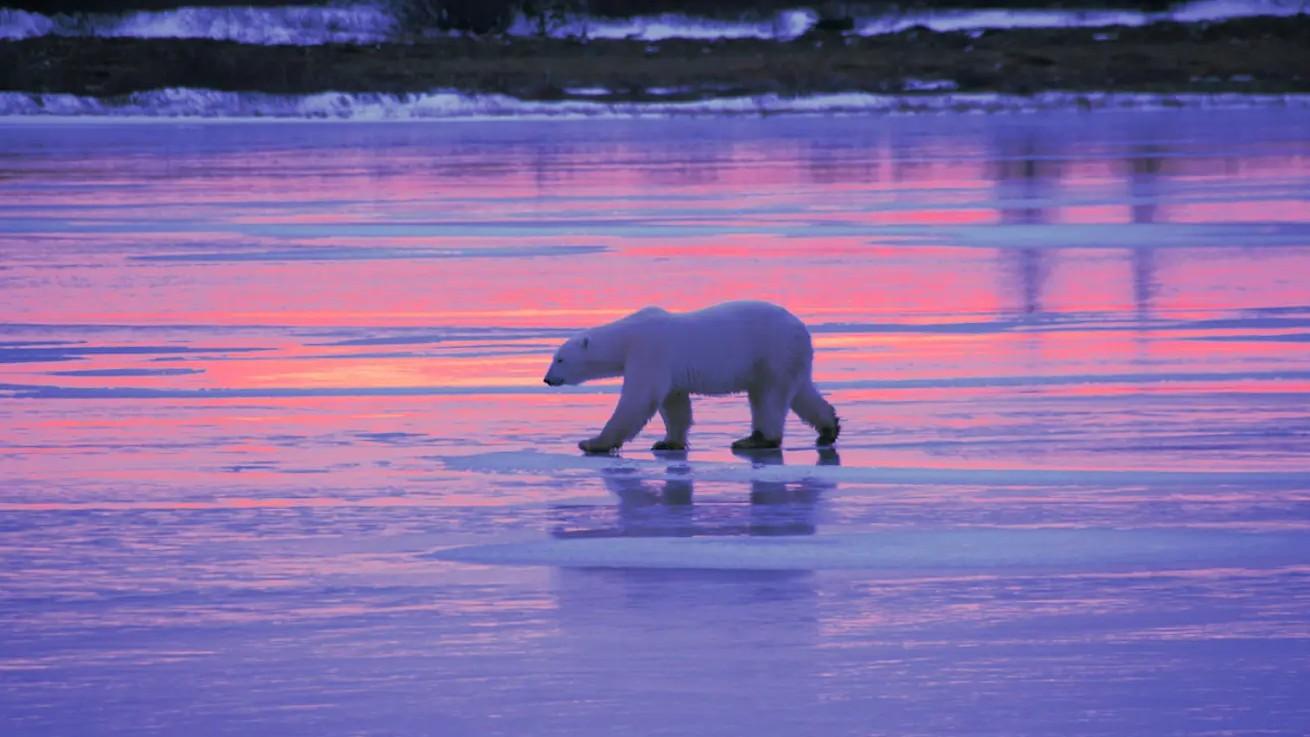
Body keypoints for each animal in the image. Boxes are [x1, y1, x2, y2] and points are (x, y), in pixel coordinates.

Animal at [542, 300, 840, 454]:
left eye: (559, 359)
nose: (547, 379)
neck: (626, 338)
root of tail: (802, 328)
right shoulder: (668, 371)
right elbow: (675, 404)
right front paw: (667, 442)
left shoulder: (649, 352)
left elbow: (638, 400)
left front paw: (593, 443)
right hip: (787, 358)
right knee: (800, 393)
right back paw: (829, 428)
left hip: (772, 351)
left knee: (769, 398)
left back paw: (755, 440)